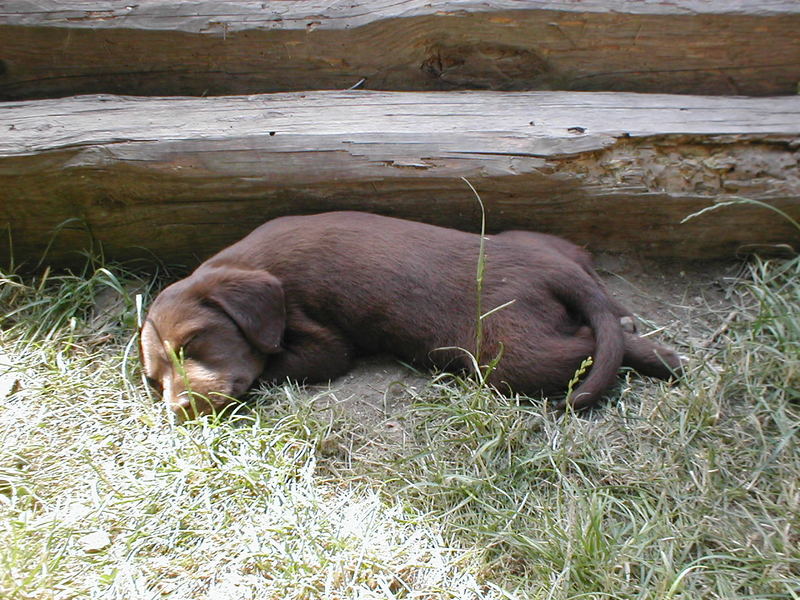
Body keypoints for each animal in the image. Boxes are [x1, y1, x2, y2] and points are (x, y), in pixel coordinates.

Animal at [139, 211, 680, 418]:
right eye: (153, 378)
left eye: (194, 344)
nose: (177, 409)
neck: (250, 265)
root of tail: (551, 268)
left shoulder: (323, 344)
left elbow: (273, 365)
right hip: (550, 250)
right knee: (603, 302)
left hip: (509, 355)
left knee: (594, 345)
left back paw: (663, 357)